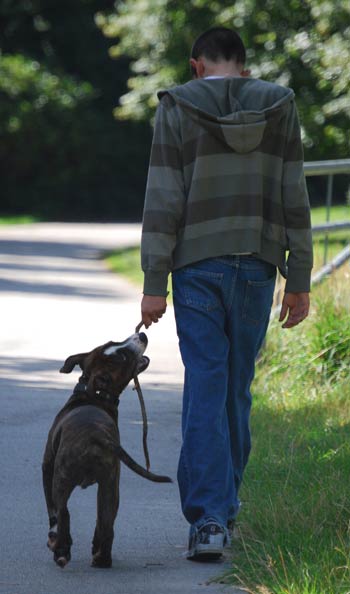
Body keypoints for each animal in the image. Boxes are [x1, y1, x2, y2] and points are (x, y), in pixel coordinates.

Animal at [42, 330, 171, 568]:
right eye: (117, 349)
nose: (142, 334)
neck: (94, 396)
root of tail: (97, 435)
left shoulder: (47, 467)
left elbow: (51, 510)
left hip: (62, 479)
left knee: (64, 514)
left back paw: (62, 551)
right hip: (111, 485)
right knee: (106, 523)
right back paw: (102, 558)